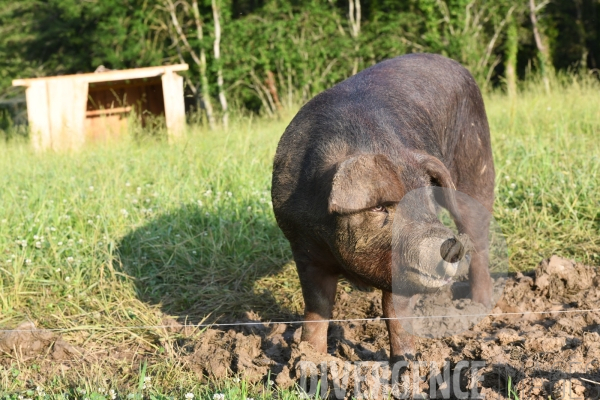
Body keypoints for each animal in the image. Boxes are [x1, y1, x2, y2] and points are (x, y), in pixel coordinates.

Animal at [270, 53, 494, 362]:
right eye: (380, 208)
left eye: (427, 202)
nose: (449, 244)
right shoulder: (302, 247)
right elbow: (317, 308)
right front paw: (309, 357)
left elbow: (394, 310)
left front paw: (406, 361)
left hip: (477, 166)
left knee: (479, 241)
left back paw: (480, 307)